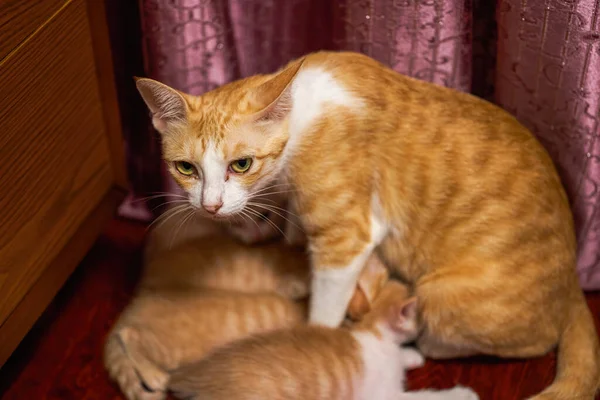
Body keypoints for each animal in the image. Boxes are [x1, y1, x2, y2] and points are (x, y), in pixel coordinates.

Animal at [168, 282, 478, 400]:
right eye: (419, 316)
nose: (425, 325)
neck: (374, 332)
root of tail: (200, 373)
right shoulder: (384, 396)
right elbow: (426, 396)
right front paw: (460, 393)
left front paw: (411, 356)